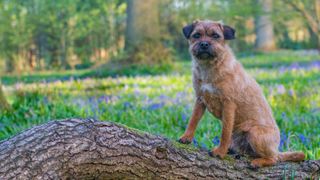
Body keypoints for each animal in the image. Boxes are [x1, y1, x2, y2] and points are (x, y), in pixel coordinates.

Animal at [178, 19, 304, 167]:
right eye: (196, 35)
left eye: (215, 36)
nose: (204, 44)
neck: (209, 67)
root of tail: (276, 149)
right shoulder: (200, 99)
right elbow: (193, 120)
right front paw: (186, 137)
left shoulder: (228, 105)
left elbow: (225, 132)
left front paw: (220, 152)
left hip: (254, 133)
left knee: (273, 159)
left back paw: (257, 162)